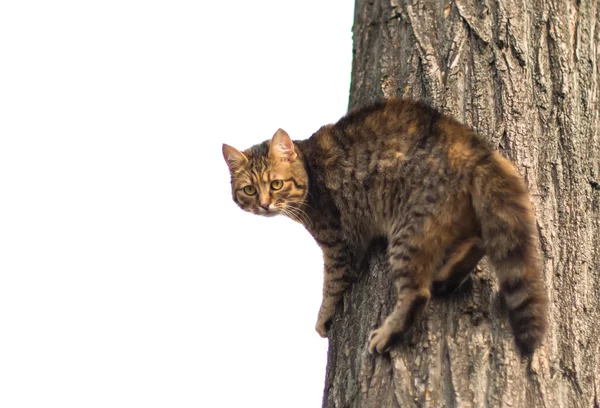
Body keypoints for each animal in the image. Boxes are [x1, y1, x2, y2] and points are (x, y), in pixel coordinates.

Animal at [221, 99, 548, 354]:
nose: (265, 204)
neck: (309, 171)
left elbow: (332, 284)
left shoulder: (340, 244)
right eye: (250, 190)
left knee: (417, 294)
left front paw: (324, 317)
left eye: (276, 184)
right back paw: (447, 276)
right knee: (476, 243)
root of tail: (472, 147)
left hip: (408, 233)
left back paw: (389, 333)